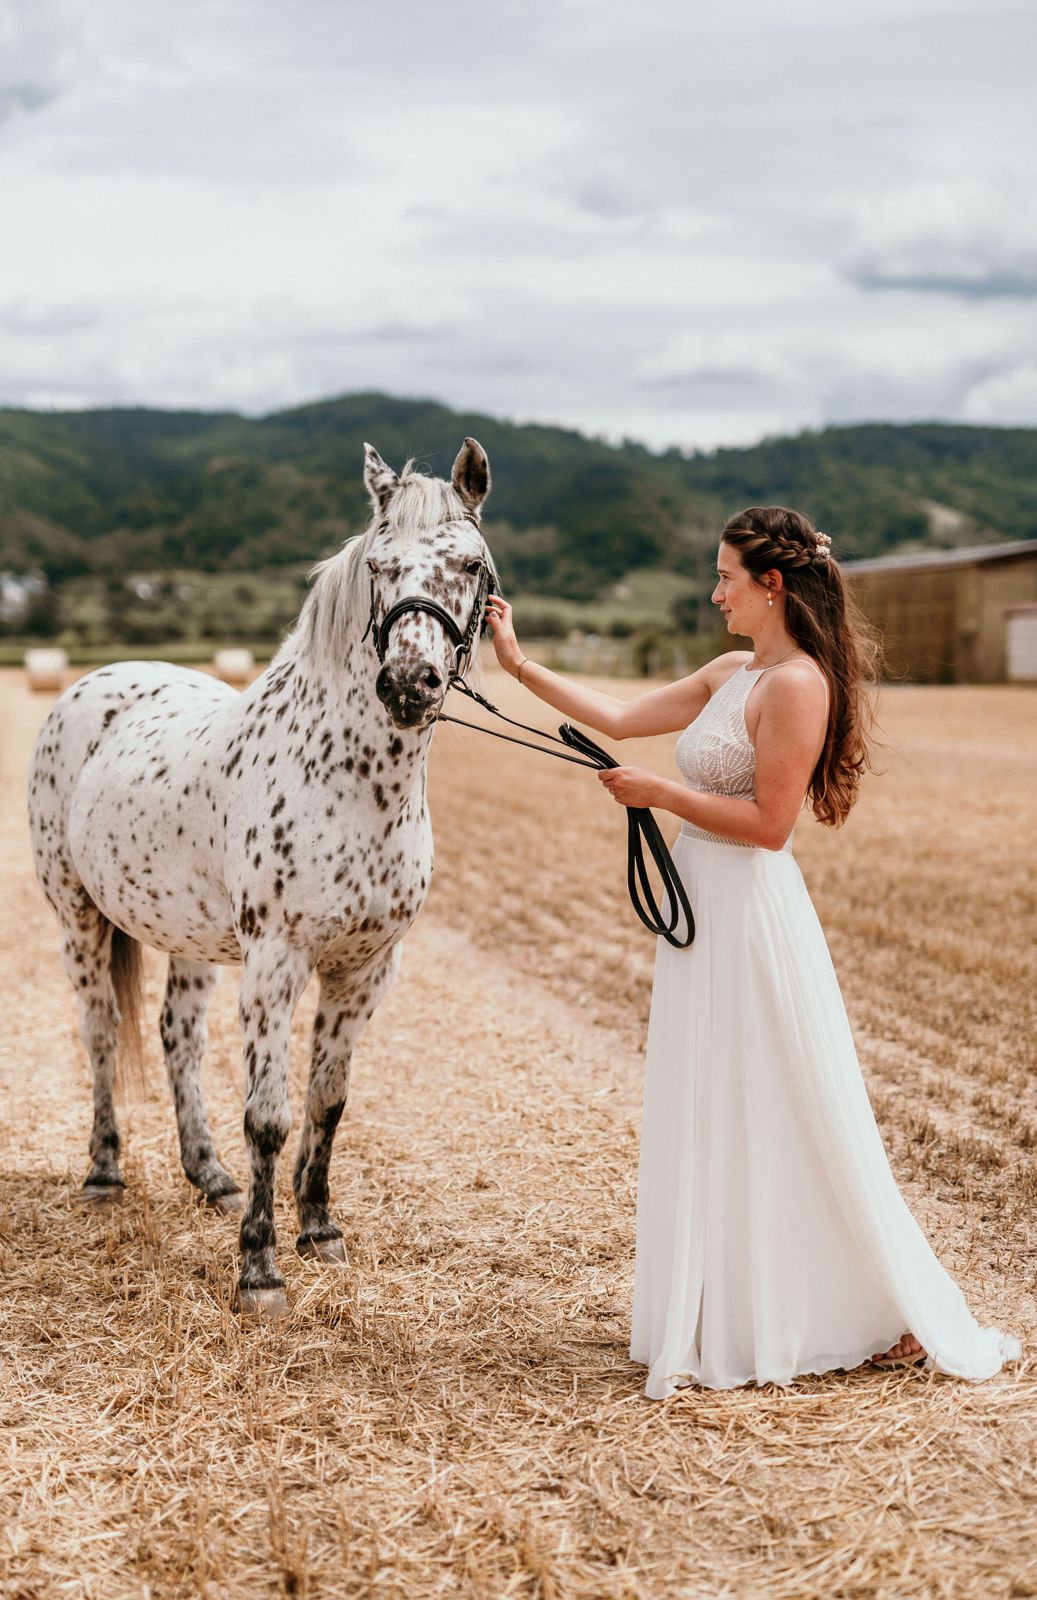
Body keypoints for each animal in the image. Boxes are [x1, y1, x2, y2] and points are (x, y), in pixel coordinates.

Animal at [27, 437, 499, 1316]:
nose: (408, 684)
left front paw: (318, 1229)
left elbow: (327, 1101)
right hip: (77, 916)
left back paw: (207, 1175)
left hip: (186, 937)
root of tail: (95, 681)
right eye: (378, 566)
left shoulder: (363, 969)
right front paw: (259, 1270)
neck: (350, 780)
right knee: (101, 1031)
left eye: (470, 563)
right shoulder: (277, 962)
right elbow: (270, 1118)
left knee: (176, 1037)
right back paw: (104, 1174)